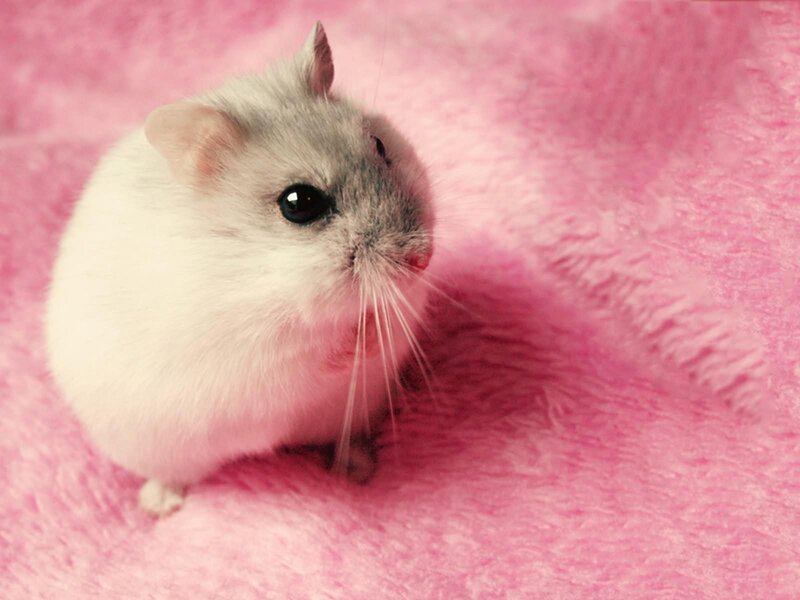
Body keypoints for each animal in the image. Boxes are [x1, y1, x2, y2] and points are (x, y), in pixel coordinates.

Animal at [45, 22, 434, 517]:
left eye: (382, 146)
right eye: (298, 203)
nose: (424, 258)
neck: (256, 270)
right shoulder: (260, 349)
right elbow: (320, 349)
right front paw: (361, 332)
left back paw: (356, 469)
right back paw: (159, 506)